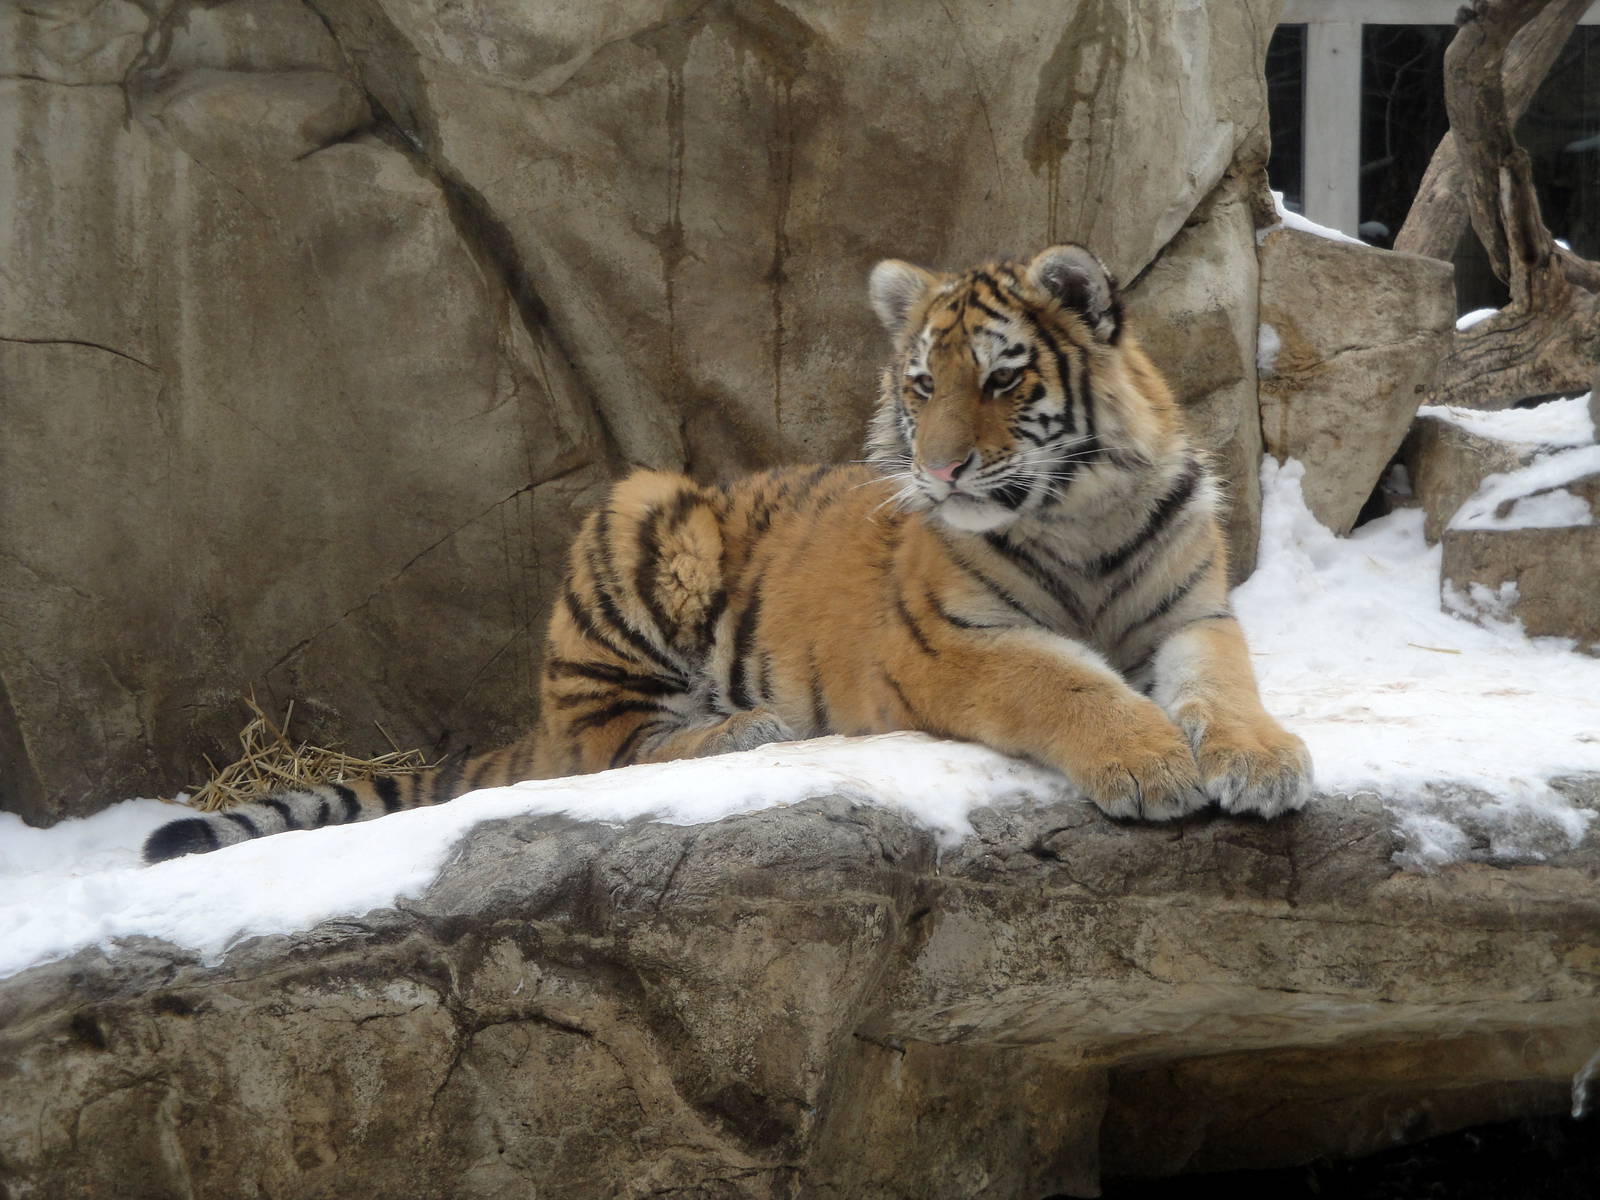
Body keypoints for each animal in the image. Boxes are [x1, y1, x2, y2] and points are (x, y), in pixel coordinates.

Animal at [144, 244, 1311, 863]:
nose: (936, 474)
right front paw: (1151, 764)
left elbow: (1228, 687)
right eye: (921, 385)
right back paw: (751, 726)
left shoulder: (1193, 614)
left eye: (1002, 379)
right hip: (643, 511)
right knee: (608, 747)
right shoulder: (953, 641)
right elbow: (1065, 687)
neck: (1081, 516)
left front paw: (1260, 762)